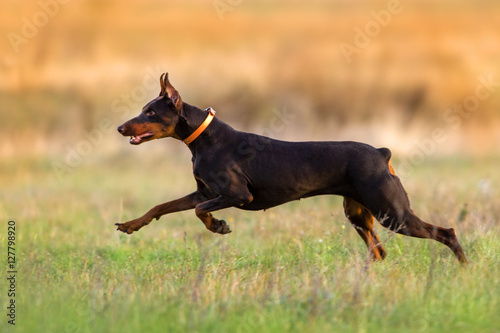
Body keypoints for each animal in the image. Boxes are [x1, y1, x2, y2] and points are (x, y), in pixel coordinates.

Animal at [117, 72, 468, 262]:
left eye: (150, 113)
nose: (120, 127)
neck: (204, 139)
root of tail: (382, 154)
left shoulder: (236, 194)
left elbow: (199, 211)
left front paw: (219, 226)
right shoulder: (203, 191)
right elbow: (163, 206)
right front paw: (131, 225)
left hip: (392, 213)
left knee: (447, 233)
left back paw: (465, 271)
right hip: (359, 213)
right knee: (378, 251)